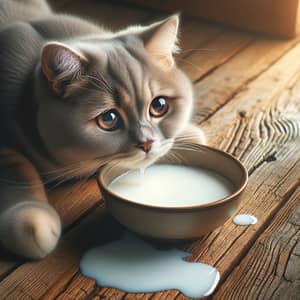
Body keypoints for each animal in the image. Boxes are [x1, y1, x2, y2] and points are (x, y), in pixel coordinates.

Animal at [0, 0, 205, 258]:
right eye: (109, 119)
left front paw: (188, 135)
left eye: (159, 106)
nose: (147, 143)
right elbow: (16, 170)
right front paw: (31, 221)